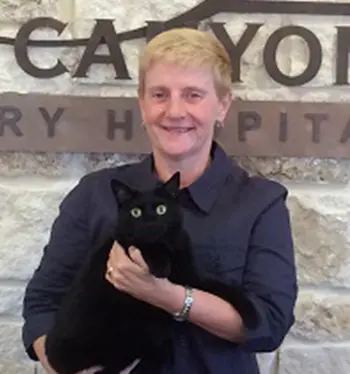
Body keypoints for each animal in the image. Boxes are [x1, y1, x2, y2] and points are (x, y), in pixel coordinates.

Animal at [44, 172, 258, 374]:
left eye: (161, 209)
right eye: (136, 212)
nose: (150, 223)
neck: (169, 247)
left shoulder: (192, 276)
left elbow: (223, 287)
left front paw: (253, 316)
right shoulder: (124, 244)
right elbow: (143, 245)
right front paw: (160, 264)